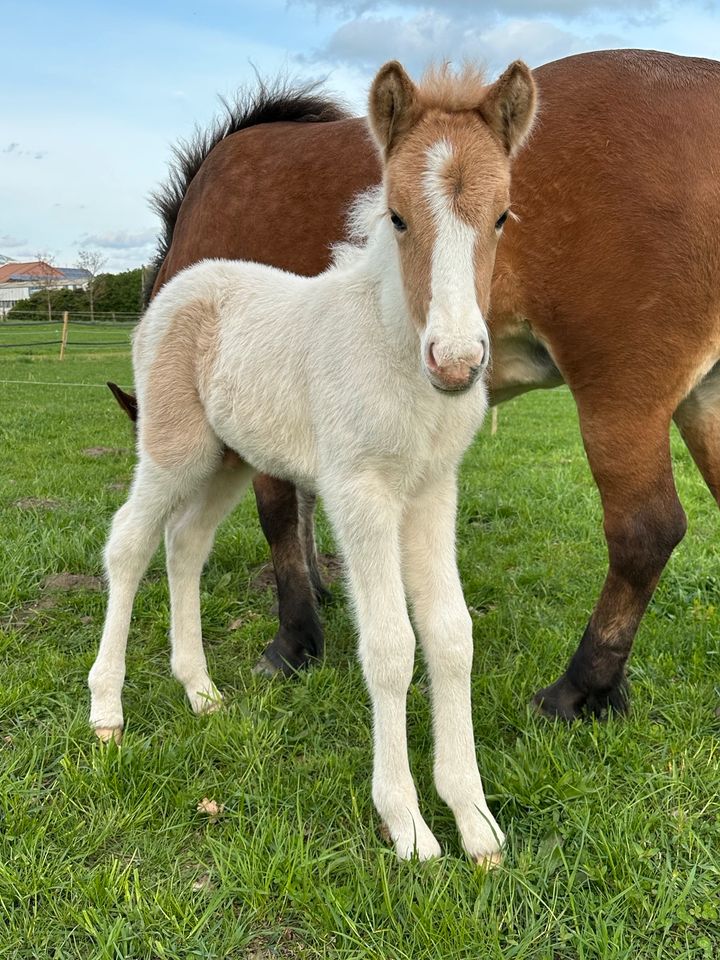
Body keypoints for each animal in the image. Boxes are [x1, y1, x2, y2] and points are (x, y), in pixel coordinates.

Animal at [88, 58, 536, 864]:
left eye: (502, 217)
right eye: (397, 216)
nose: (457, 362)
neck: (393, 347)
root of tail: (181, 284)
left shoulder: (432, 491)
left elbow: (451, 636)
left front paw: (475, 822)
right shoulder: (359, 491)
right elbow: (390, 645)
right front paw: (409, 825)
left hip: (230, 459)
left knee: (184, 544)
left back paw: (200, 691)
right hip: (175, 448)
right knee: (130, 543)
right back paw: (107, 711)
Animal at [136, 47, 720, 720]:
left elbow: (278, 510)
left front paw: (293, 641)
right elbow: (303, 502)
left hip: (620, 398)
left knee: (645, 532)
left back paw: (580, 686)